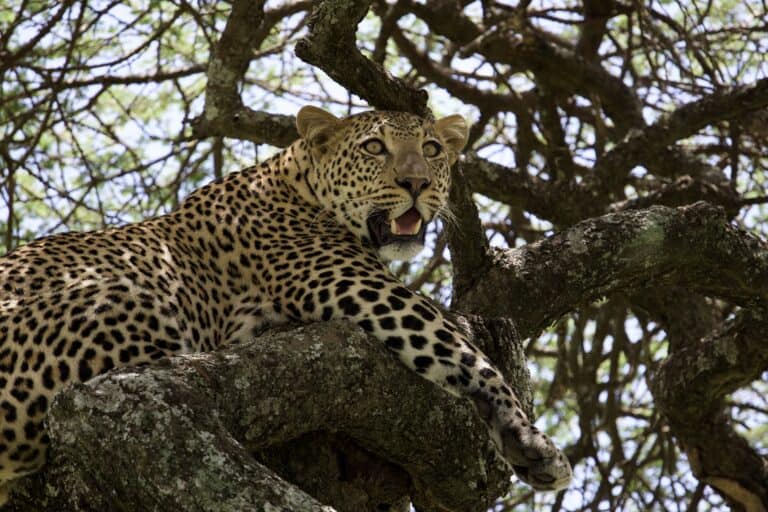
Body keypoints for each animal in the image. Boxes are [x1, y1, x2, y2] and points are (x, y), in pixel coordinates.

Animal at [0, 106, 572, 503]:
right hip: (137, 298)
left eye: (432, 148)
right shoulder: (359, 285)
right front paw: (530, 441)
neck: (296, 181)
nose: (417, 183)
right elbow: (461, 349)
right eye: (374, 148)